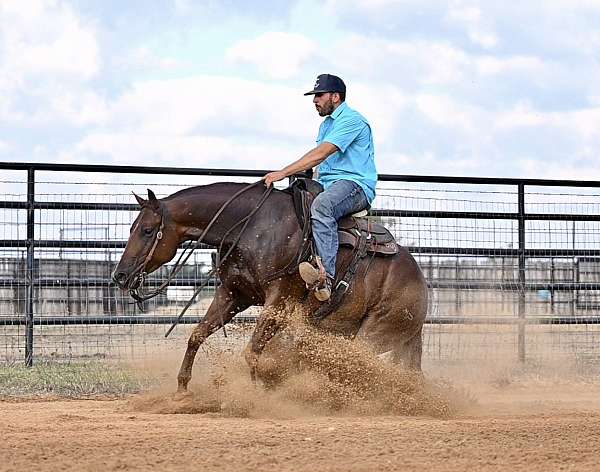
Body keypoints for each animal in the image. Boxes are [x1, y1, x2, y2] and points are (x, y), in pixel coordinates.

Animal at [112, 181, 428, 390]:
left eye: (147, 230)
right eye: (131, 228)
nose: (120, 275)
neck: (250, 228)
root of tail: (421, 284)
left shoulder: (280, 299)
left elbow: (252, 352)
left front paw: (255, 394)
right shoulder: (233, 294)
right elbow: (198, 334)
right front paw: (182, 389)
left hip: (376, 332)